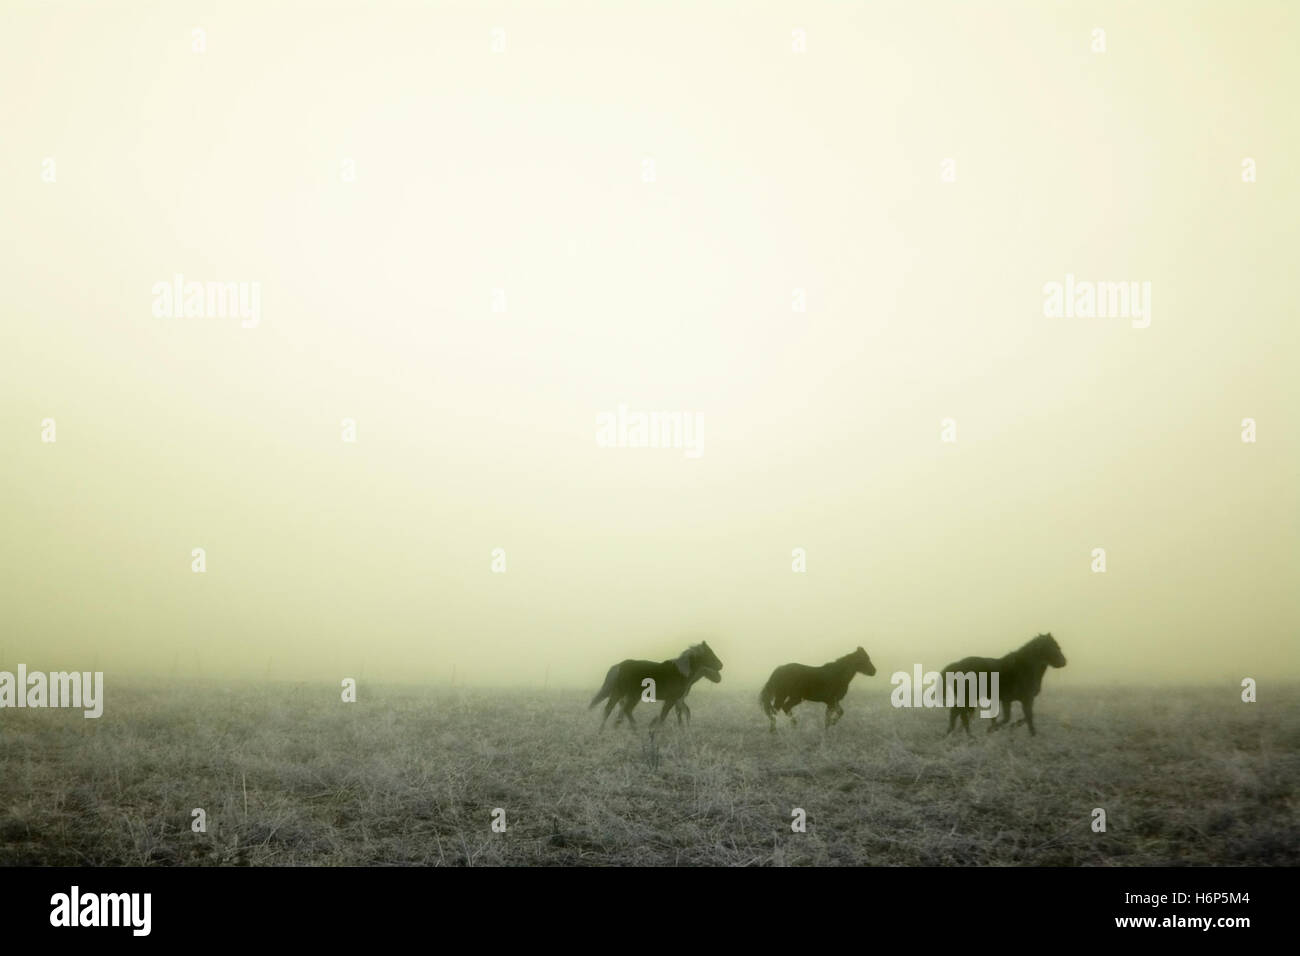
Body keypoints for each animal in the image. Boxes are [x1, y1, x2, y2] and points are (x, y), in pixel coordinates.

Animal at [587, 642, 722, 733]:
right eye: (710, 654)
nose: (721, 666)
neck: (681, 672)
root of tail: (620, 666)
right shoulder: (673, 699)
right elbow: (665, 716)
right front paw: (659, 731)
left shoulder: (677, 699)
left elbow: (679, 713)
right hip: (629, 694)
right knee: (622, 709)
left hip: (621, 693)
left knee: (613, 709)